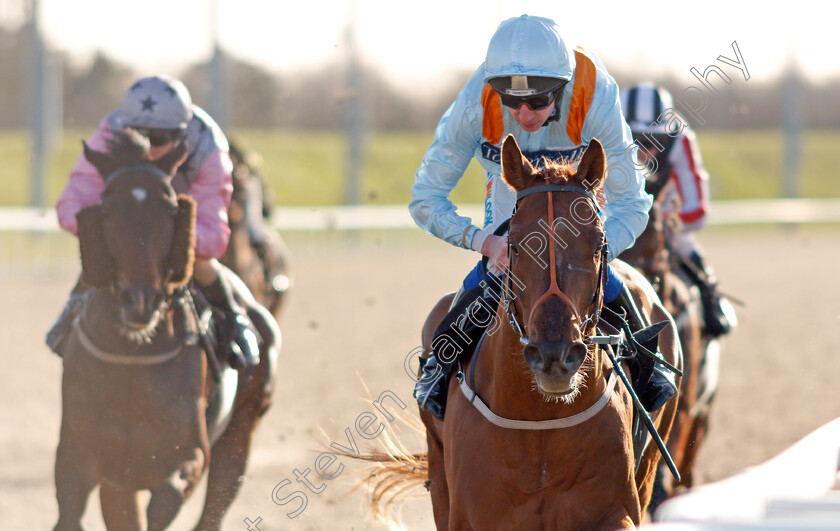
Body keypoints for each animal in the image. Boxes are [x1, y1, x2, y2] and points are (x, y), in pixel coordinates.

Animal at [54, 132, 280, 528]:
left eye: (172, 211)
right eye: (107, 210)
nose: (140, 301)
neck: (132, 359)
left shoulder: (190, 453)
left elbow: (166, 501)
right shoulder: (81, 452)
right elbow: (69, 512)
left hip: (241, 430)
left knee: (214, 507)